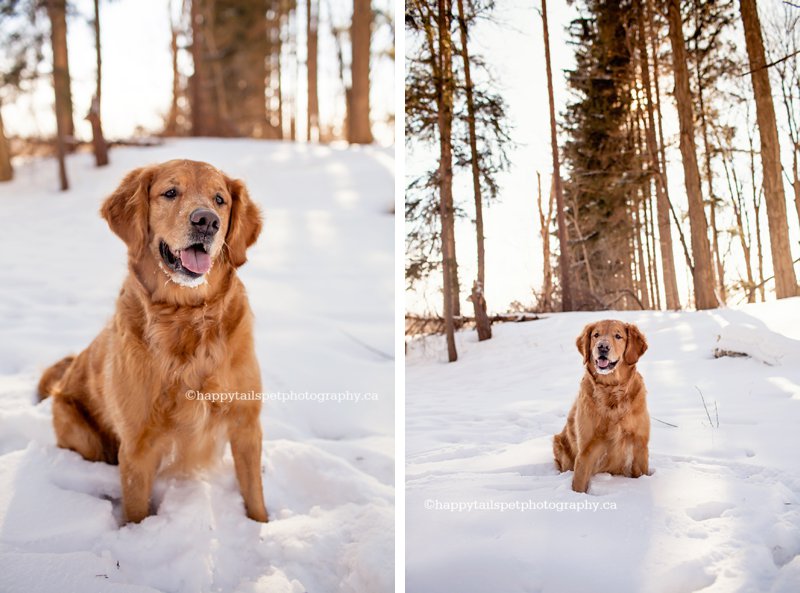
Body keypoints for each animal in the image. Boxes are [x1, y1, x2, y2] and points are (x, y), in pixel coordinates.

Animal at [556, 320, 648, 490]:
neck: (610, 390)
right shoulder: (586, 450)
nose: (603, 347)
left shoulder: (640, 445)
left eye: (618, 336)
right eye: (596, 335)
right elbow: (579, 485)